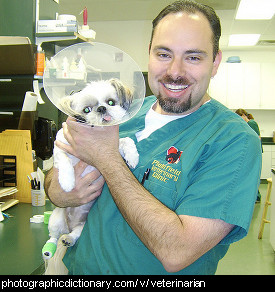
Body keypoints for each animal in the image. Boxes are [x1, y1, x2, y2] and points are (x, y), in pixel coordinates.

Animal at [42, 78, 140, 262]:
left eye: (111, 102)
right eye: (86, 110)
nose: (102, 108)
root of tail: (69, 225)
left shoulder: (112, 148)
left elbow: (127, 140)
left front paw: (132, 156)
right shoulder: (59, 148)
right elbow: (65, 161)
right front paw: (67, 182)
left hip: (83, 226)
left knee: (75, 234)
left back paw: (68, 239)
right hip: (55, 219)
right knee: (53, 236)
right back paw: (49, 249)